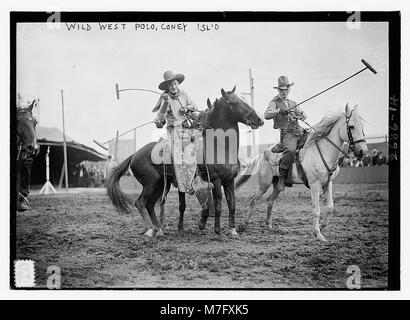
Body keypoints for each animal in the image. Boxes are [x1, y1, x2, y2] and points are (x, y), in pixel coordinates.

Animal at [107, 86, 264, 239]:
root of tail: (134, 155)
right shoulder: (216, 180)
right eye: (234, 103)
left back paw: (159, 229)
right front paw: (218, 231)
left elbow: (232, 205)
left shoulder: (229, 181)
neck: (218, 147)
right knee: (140, 202)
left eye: (244, 99)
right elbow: (218, 206)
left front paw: (232, 230)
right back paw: (151, 229)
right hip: (150, 183)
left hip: (160, 184)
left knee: (150, 204)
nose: (259, 119)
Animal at [234, 104, 368, 241]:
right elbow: (316, 210)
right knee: (253, 200)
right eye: (351, 126)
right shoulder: (314, 184)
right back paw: (244, 225)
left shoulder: (328, 183)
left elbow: (330, 207)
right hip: (264, 184)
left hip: (277, 184)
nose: (363, 151)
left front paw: (322, 226)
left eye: (362, 126)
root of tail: (262, 154)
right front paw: (318, 234)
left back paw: (269, 226)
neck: (323, 151)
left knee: (270, 201)